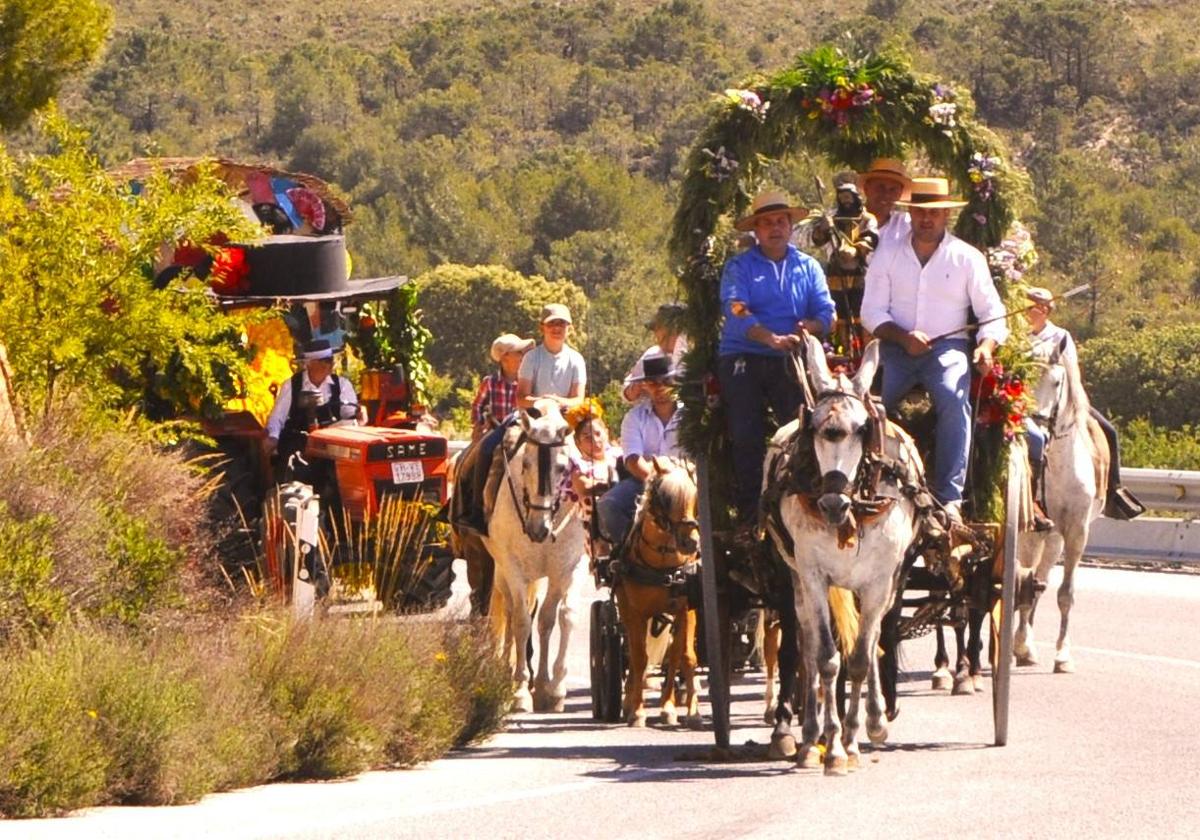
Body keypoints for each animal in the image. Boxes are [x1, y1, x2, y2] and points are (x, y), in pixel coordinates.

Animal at [482, 396, 585, 710]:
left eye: (563, 468)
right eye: (525, 463)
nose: (539, 529)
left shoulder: (568, 568)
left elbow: (557, 618)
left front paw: (551, 688)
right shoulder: (514, 568)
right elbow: (520, 621)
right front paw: (519, 690)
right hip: (503, 570)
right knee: (510, 610)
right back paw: (506, 672)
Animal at [619, 456, 700, 724]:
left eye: (696, 496)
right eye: (664, 498)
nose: (692, 542)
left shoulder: (687, 610)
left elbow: (684, 656)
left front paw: (686, 710)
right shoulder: (636, 613)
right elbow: (639, 657)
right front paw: (637, 710)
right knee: (633, 654)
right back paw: (628, 701)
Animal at [772, 333, 921, 772]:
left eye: (862, 429)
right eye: (817, 428)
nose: (832, 503)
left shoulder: (880, 580)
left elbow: (858, 658)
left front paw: (853, 739)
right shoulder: (813, 574)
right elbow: (825, 657)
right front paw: (831, 745)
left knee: (871, 644)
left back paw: (873, 722)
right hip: (799, 582)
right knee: (806, 645)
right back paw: (808, 738)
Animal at [1012, 338, 1104, 672]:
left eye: (1056, 382)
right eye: (1022, 379)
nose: (1033, 427)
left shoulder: (1076, 532)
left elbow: (1065, 593)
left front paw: (1063, 654)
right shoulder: (1031, 532)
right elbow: (1024, 581)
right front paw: (1023, 645)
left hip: (1055, 539)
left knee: (1042, 579)